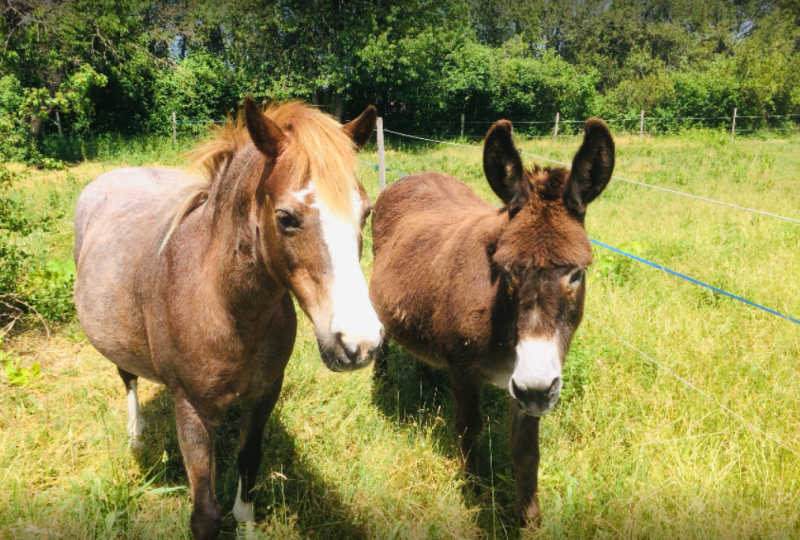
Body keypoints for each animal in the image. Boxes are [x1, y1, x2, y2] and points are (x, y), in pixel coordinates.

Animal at [72, 98, 384, 540]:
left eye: (365, 212)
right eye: (286, 217)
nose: (360, 343)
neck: (227, 308)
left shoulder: (265, 393)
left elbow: (248, 462)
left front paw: (247, 522)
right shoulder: (192, 410)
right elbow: (205, 514)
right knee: (127, 377)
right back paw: (136, 436)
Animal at [368, 118, 612, 524]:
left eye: (576, 275)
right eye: (505, 271)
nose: (535, 389)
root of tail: (416, 175)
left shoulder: (531, 383)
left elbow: (526, 451)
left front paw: (528, 518)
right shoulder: (464, 368)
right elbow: (470, 429)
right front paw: (474, 489)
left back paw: (423, 375)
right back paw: (382, 378)